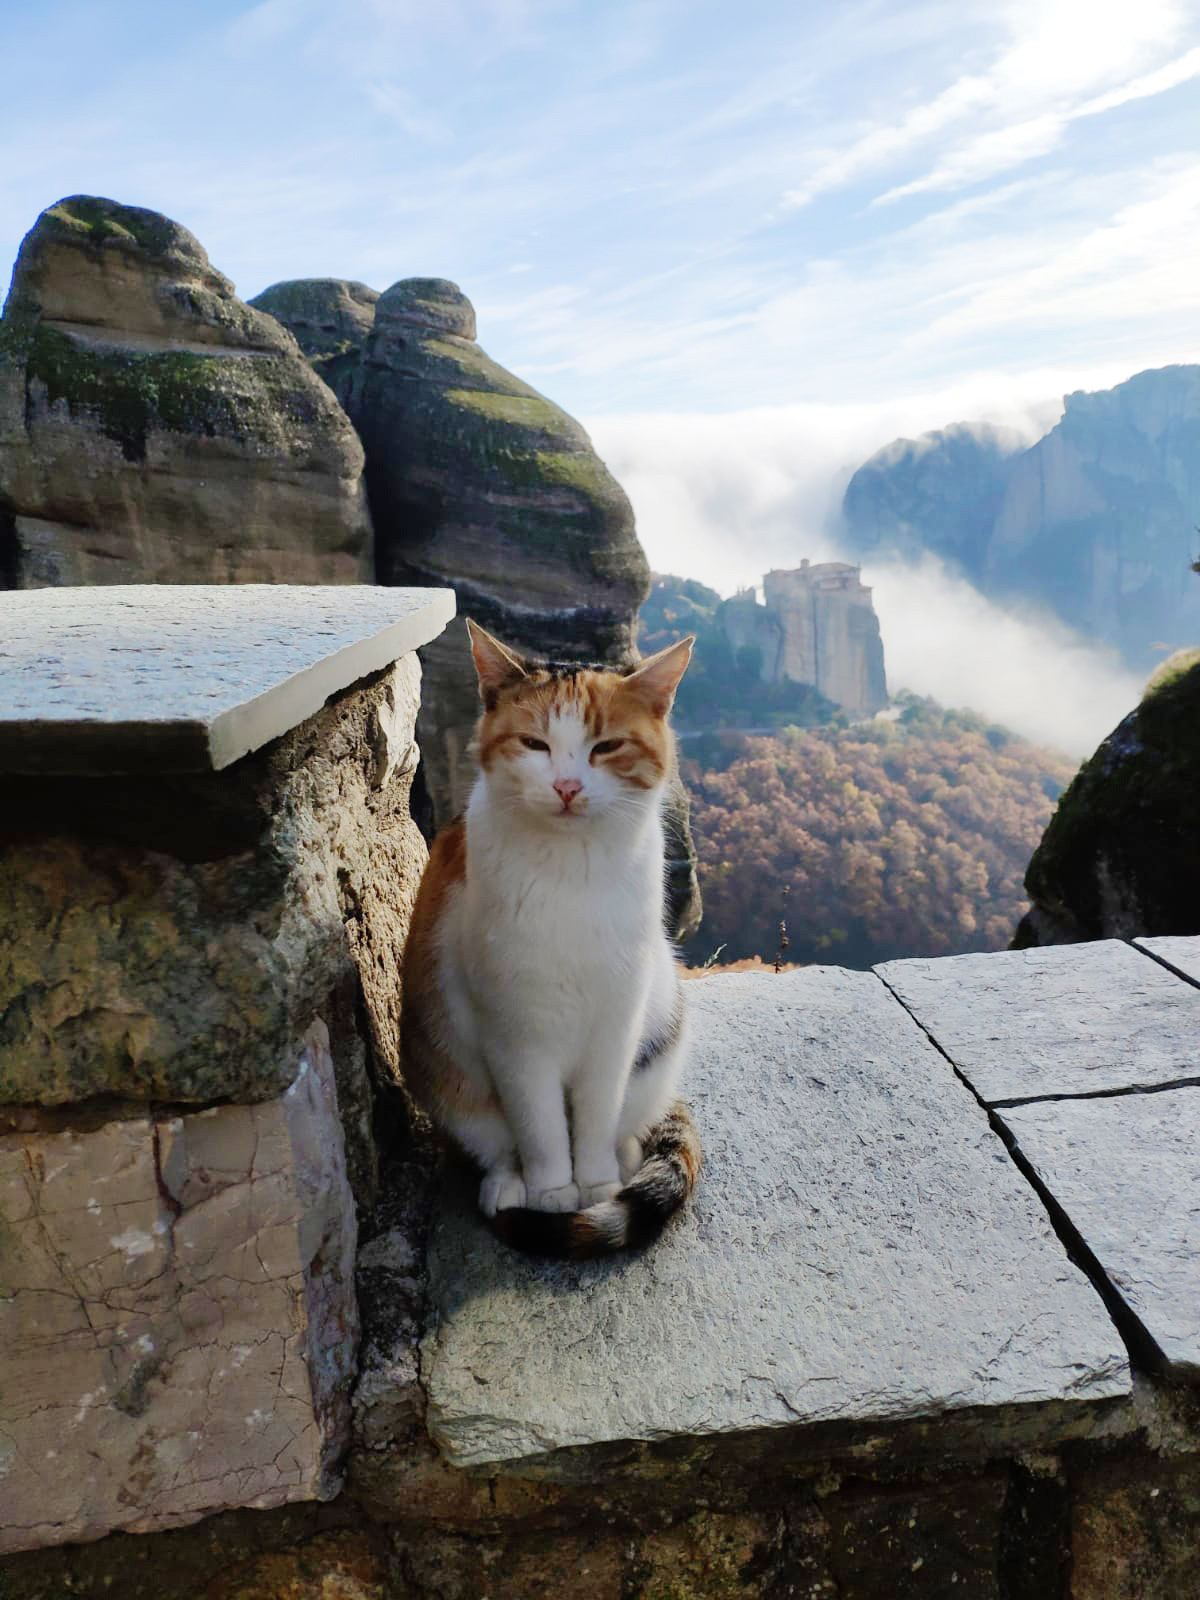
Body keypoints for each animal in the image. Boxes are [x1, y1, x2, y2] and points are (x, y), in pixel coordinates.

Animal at [401, 617, 704, 1254]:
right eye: (534, 745)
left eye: (606, 747)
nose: (566, 786)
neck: (573, 871)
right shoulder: (513, 1029)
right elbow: (538, 1125)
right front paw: (552, 1191)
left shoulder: (618, 1018)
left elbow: (595, 1112)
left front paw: (594, 1184)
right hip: (441, 1066)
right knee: (493, 1139)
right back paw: (507, 1184)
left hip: (659, 1033)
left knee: (632, 1124)